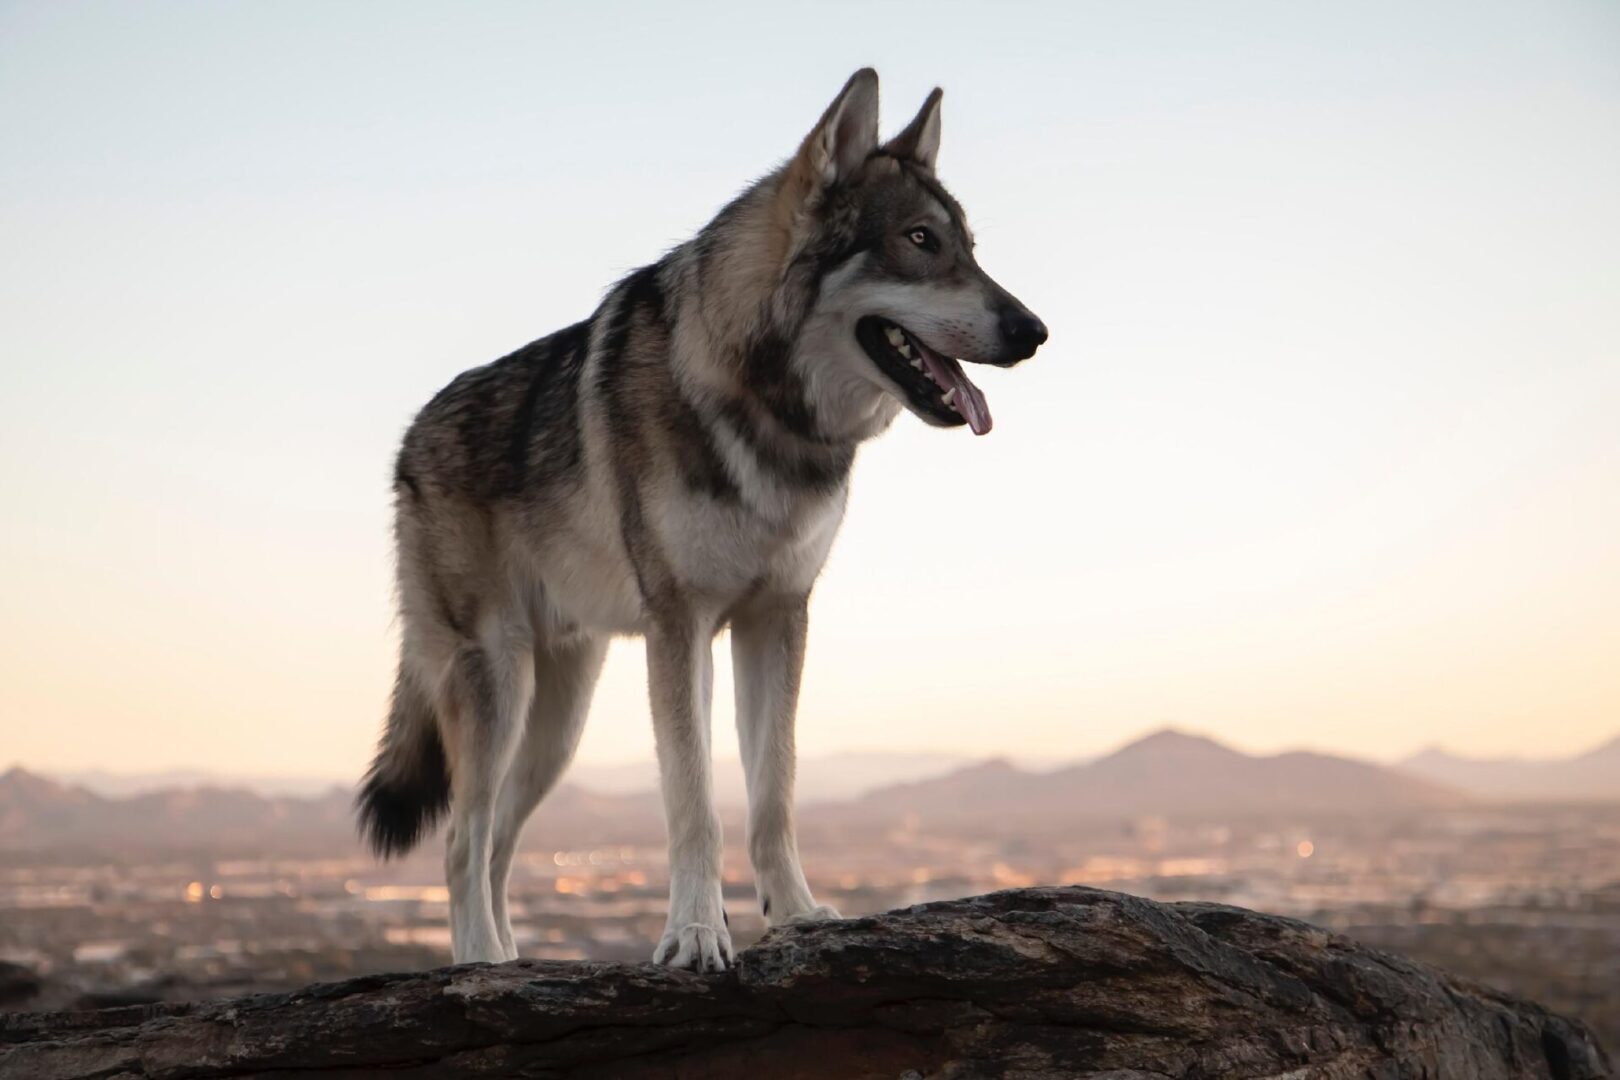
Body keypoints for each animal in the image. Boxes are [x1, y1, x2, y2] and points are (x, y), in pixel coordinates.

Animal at [359, 71, 1043, 977]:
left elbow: (773, 793)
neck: (770, 412)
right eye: (920, 239)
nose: (1035, 331)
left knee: (499, 841)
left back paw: (511, 959)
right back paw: (480, 966)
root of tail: (410, 437)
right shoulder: (680, 629)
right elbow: (694, 803)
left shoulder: (775, 619)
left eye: (969, 246)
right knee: (461, 841)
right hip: (498, 686)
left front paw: (797, 916)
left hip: (557, 721)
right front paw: (693, 934)